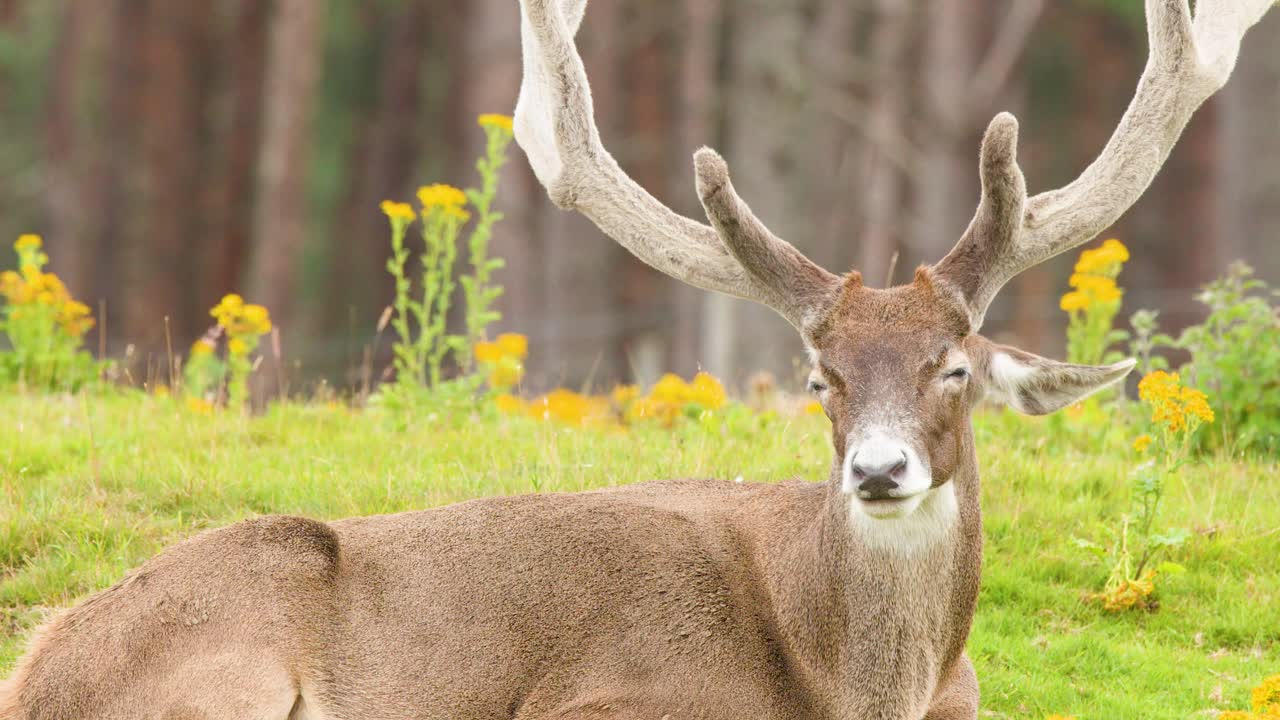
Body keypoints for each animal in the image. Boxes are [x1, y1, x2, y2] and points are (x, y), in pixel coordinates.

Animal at [2, 0, 1274, 718]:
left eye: (952, 366)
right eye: (818, 378)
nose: (876, 472)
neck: (862, 689)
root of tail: (36, 666)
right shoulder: (608, 701)